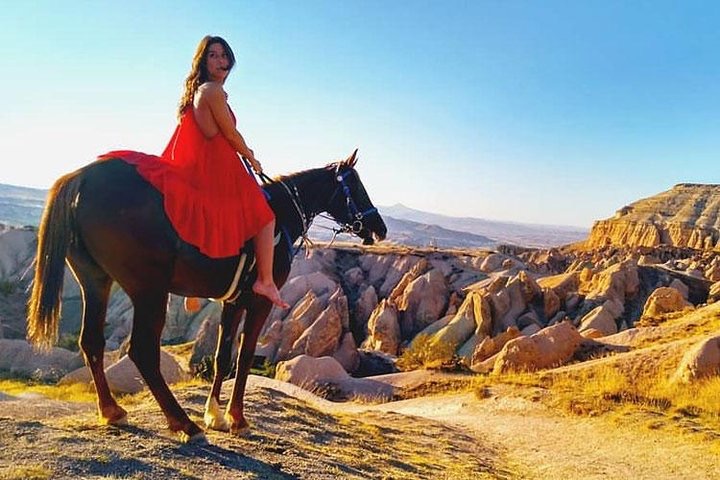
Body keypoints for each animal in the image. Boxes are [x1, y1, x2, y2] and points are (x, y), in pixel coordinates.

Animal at [26, 150, 388, 442]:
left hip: (96, 281)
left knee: (91, 342)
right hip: (149, 290)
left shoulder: (232, 301)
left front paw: (215, 415)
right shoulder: (259, 301)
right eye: (357, 186)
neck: (280, 215)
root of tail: (81, 177)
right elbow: (244, 358)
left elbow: (222, 357)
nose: (381, 228)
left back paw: (112, 411)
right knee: (142, 350)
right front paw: (237, 419)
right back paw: (183, 424)